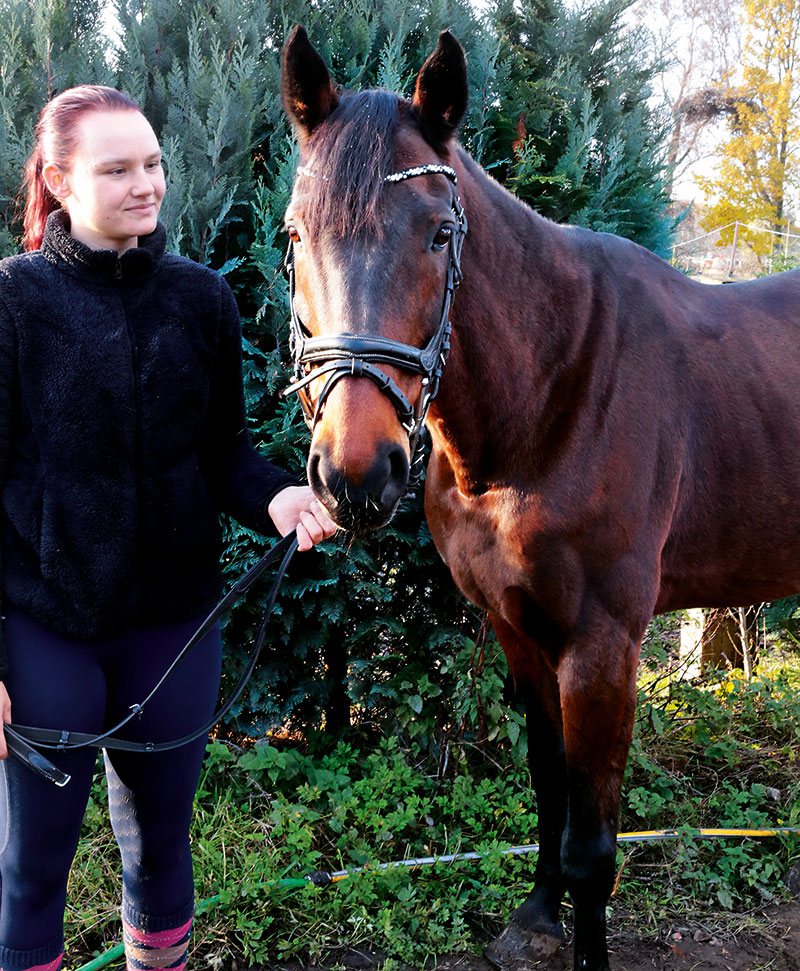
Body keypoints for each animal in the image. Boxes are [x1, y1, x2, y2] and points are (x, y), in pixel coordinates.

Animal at [278, 24, 800, 971]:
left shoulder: (603, 648)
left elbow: (594, 846)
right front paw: (535, 915)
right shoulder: (517, 627)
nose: (355, 473)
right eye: (297, 234)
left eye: (440, 233)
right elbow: (548, 785)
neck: (554, 390)